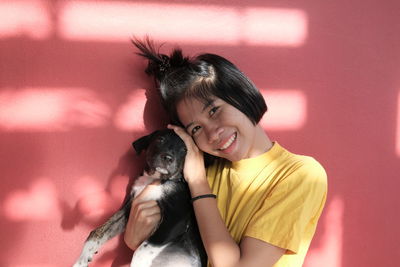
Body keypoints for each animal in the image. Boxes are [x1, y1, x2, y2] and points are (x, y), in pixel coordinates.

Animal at [73, 129, 208, 266]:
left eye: (184, 150)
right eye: (160, 139)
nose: (168, 158)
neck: (154, 179)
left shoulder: (175, 218)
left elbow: (141, 251)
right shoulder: (129, 208)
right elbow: (98, 232)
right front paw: (82, 259)